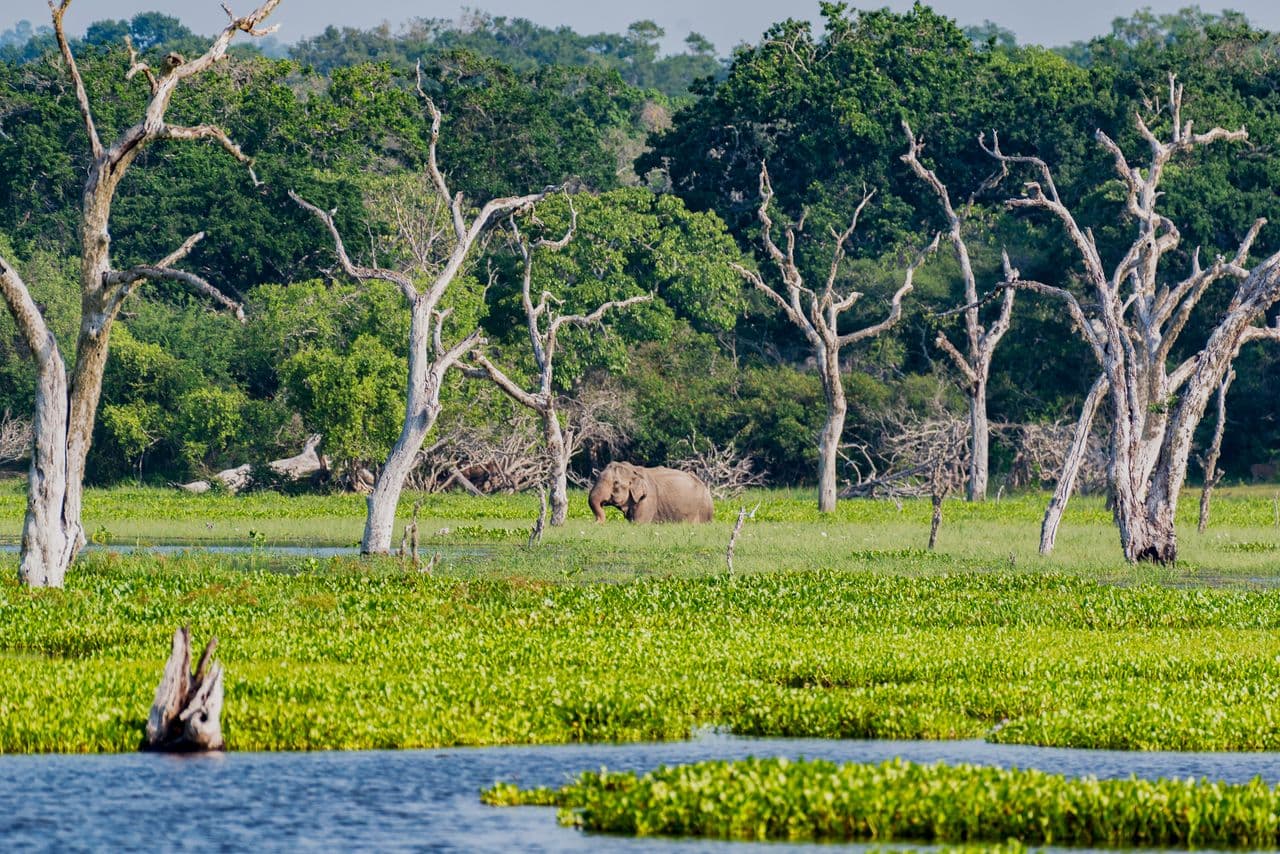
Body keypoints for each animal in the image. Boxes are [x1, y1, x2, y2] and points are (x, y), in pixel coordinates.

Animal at [586, 463, 716, 524]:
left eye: (616, 483)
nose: (595, 522)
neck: (633, 469)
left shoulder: (648, 500)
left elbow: (639, 523)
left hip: (704, 510)